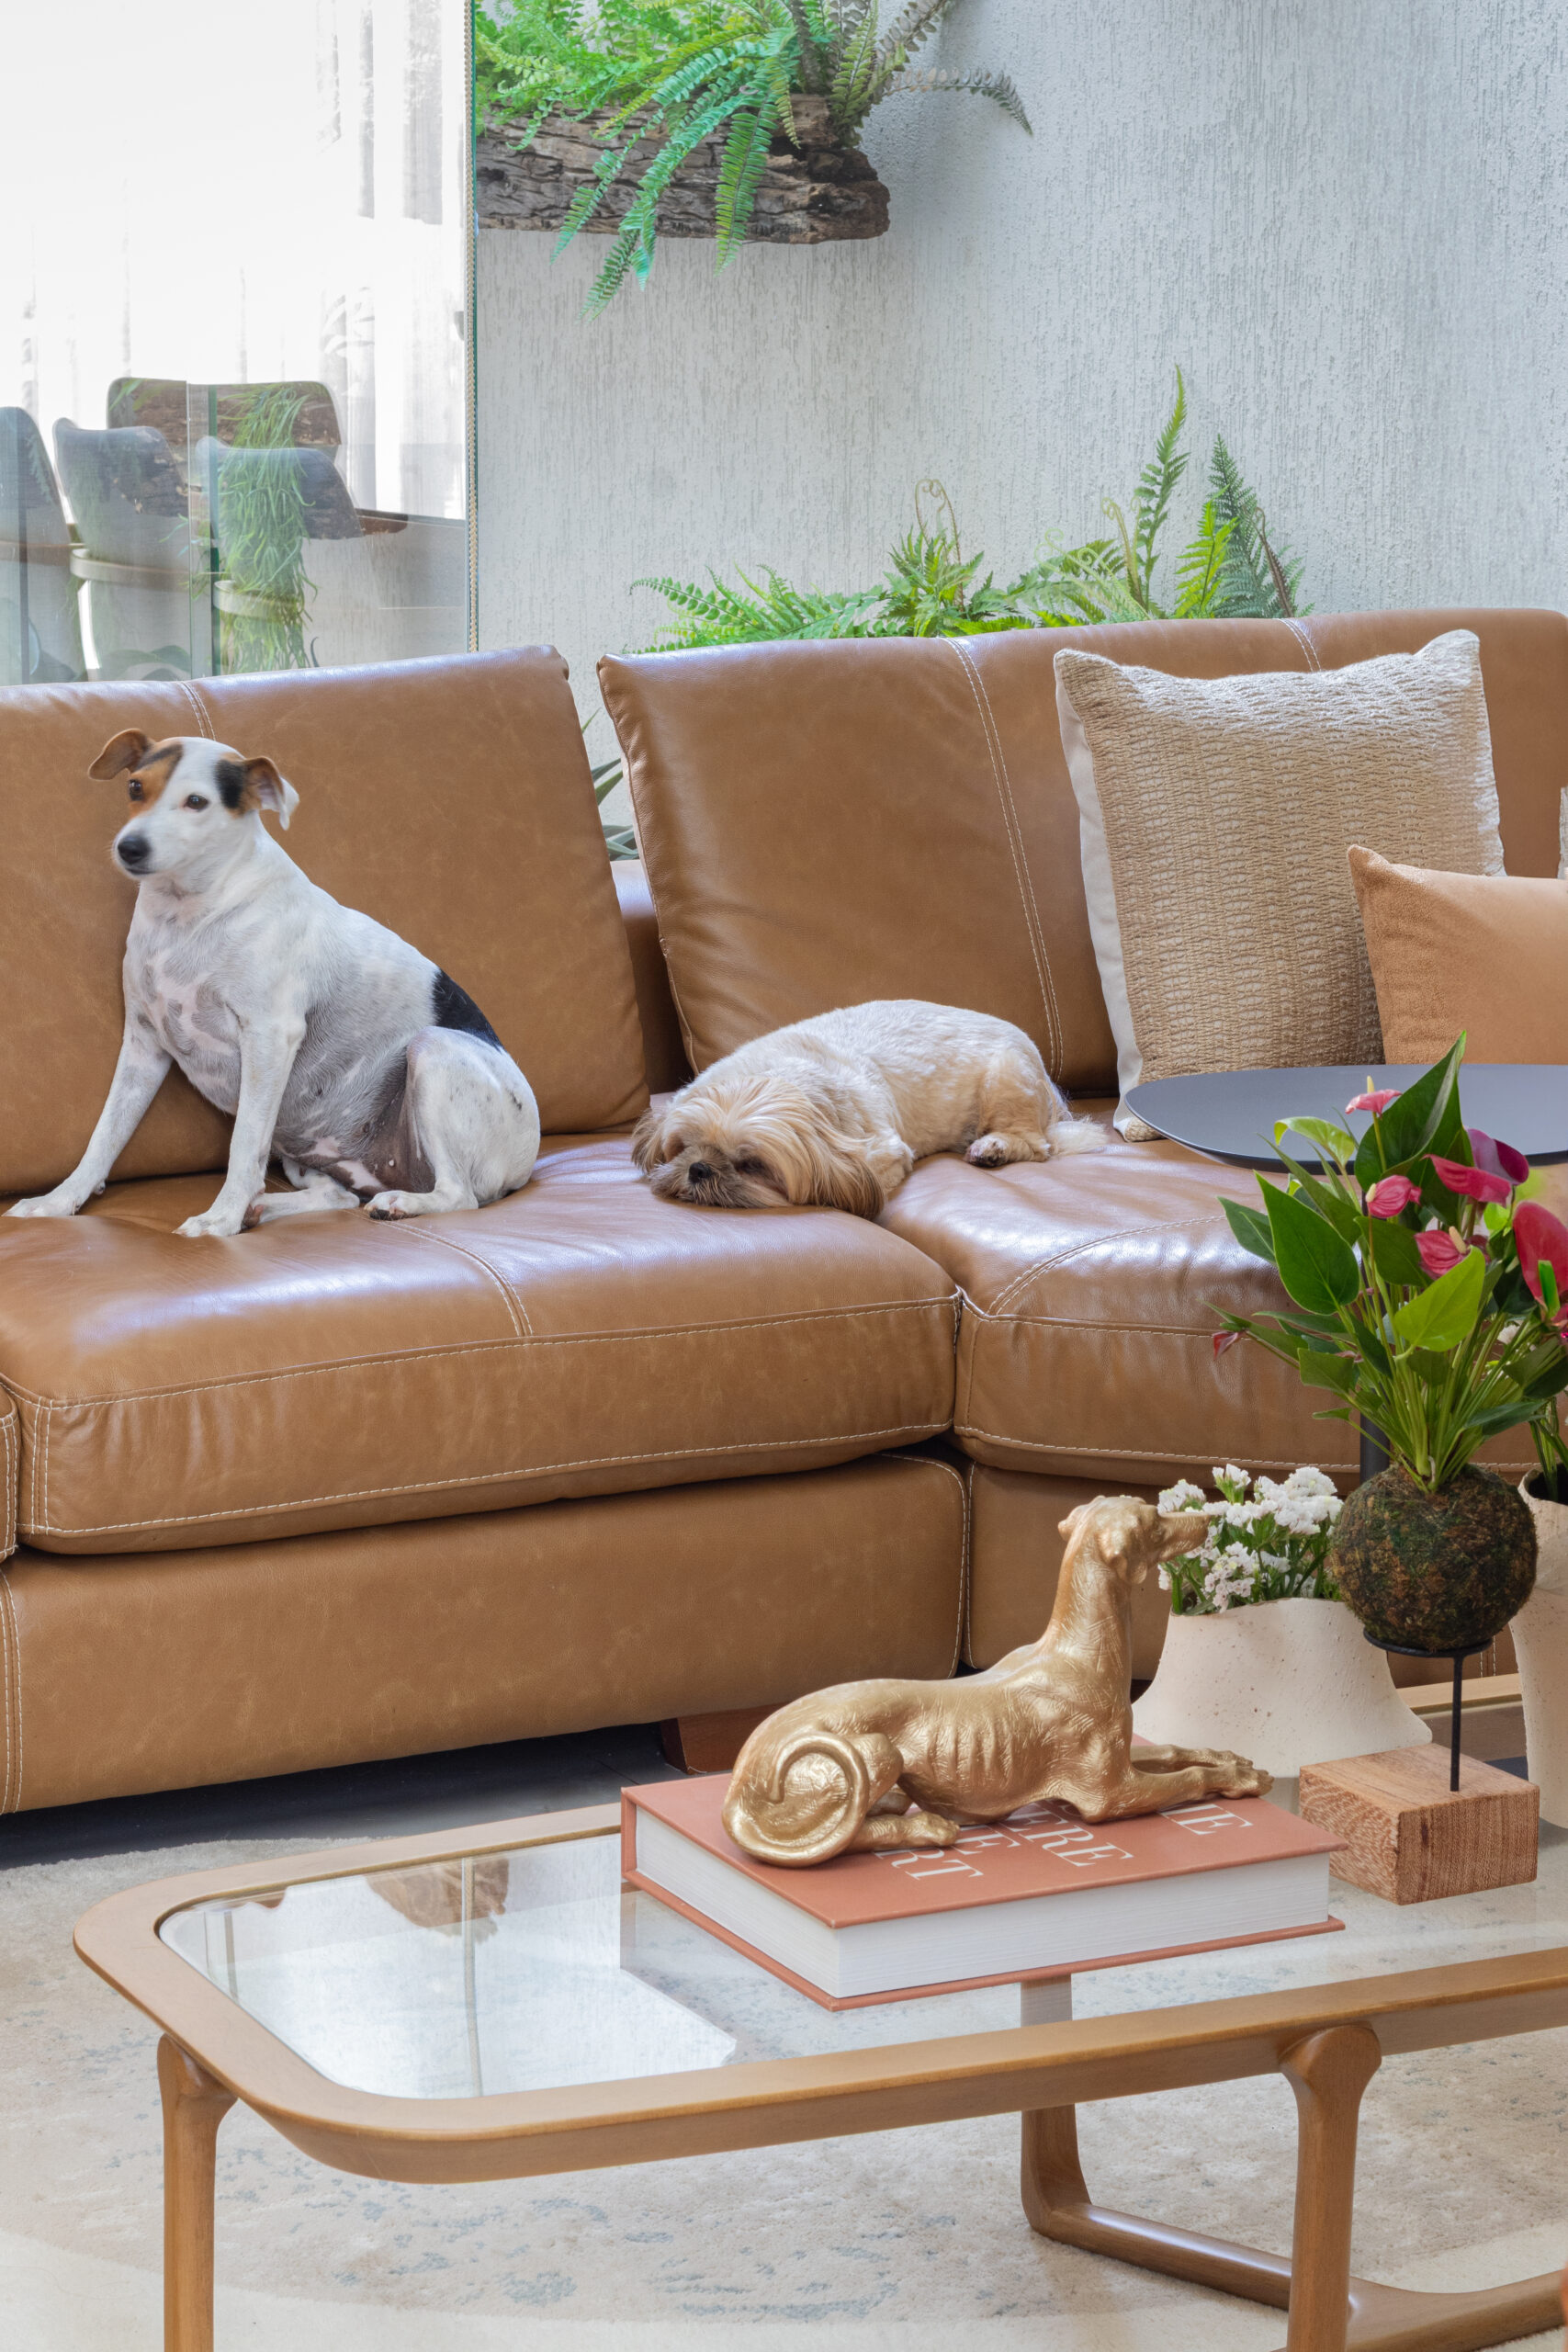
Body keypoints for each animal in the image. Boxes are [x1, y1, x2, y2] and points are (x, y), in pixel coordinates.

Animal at [4, 731, 540, 1239]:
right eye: (136, 787)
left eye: (197, 801)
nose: (129, 847)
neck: (191, 914)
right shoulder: (143, 1044)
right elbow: (105, 1136)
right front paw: (58, 1202)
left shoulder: (268, 1038)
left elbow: (243, 1146)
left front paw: (218, 1221)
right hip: (306, 1149)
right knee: (339, 1197)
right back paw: (262, 1209)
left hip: (432, 1052)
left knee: (458, 1195)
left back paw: (397, 1204)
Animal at [632, 999, 1101, 1216]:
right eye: (683, 1148)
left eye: (752, 1166)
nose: (699, 1169)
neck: (779, 1073)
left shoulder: (881, 1154)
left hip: (1007, 1075)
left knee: (1034, 1144)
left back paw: (993, 1148)